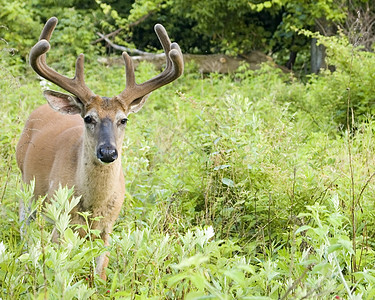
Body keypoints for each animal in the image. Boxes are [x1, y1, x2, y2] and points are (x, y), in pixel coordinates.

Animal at [16, 16, 184, 278]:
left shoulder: (108, 226)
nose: (108, 152)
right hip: (26, 185)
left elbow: (101, 272)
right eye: (88, 118)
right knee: (24, 223)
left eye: (123, 120)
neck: (93, 206)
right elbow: (59, 268)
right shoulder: (59, 218)